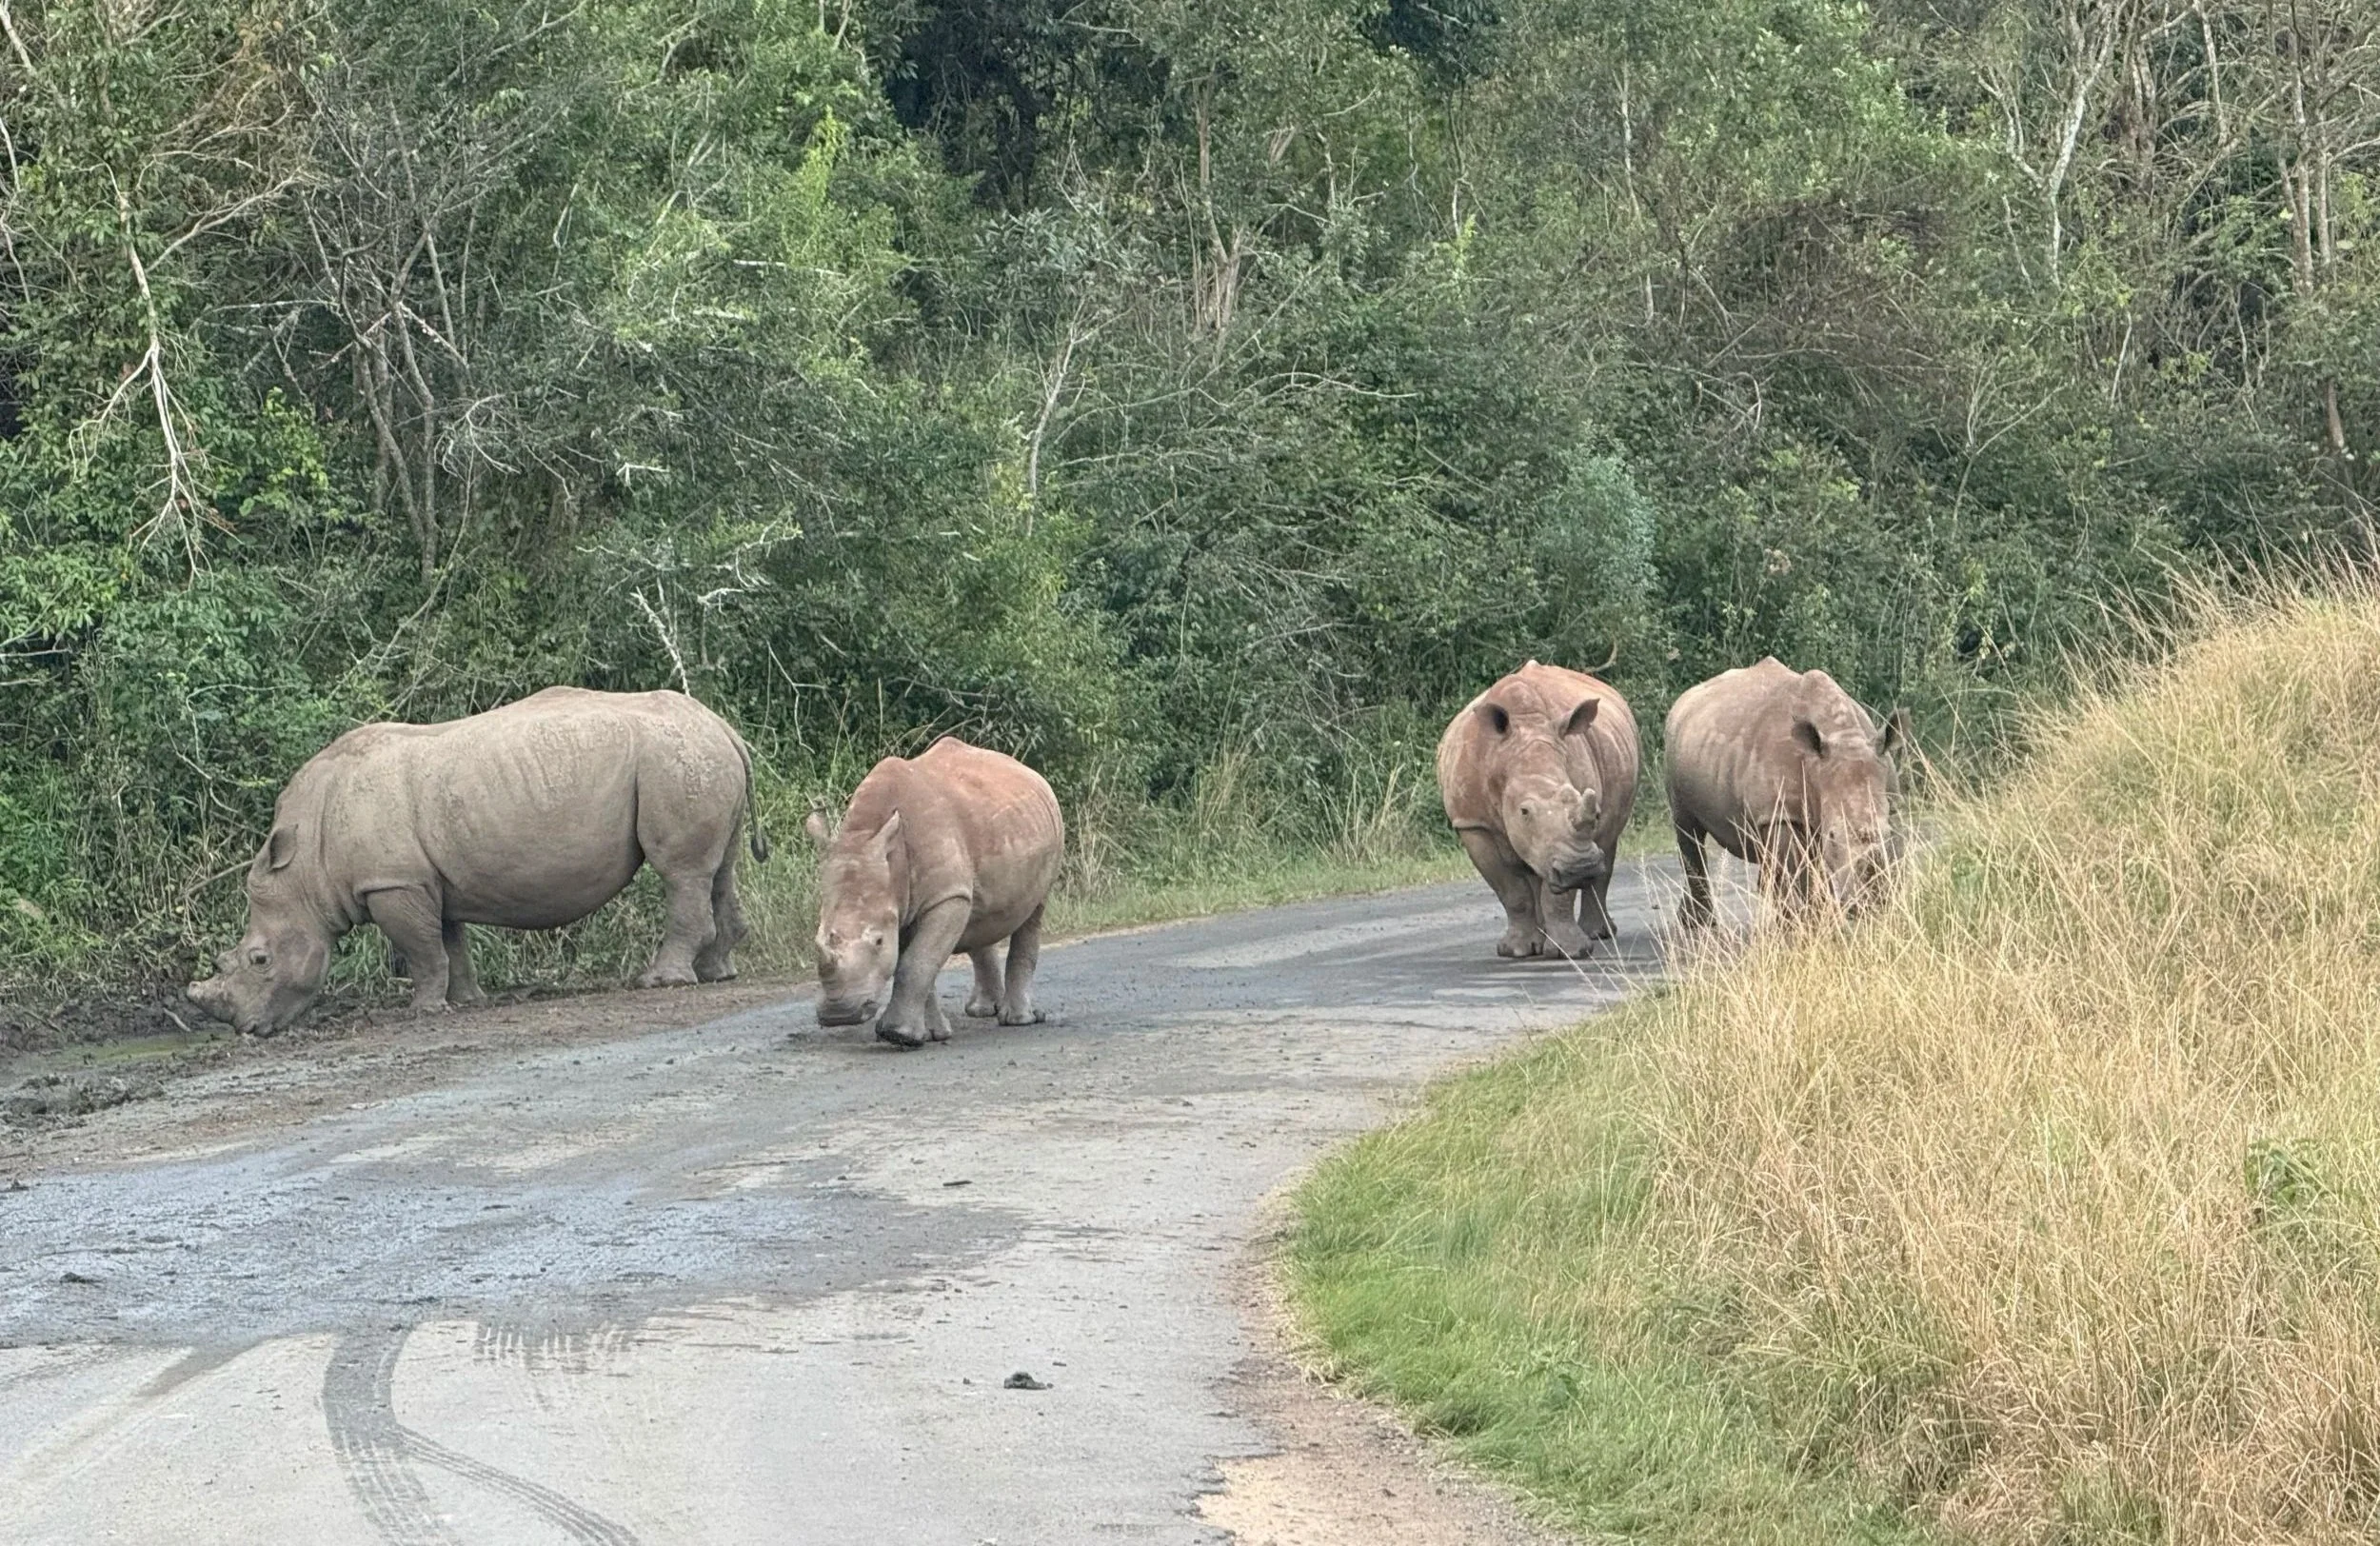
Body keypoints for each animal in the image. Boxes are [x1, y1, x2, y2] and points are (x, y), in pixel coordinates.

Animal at [186, 687, 767, 1036]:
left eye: (260, 960)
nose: (249, 1029)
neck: (307, 868)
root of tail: (723, 726)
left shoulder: (392, 882)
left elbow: (421, 950)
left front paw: (423, 1010)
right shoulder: (423, 879)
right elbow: (449, 940)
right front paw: (467, 1001)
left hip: (673, 760)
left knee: (681, 873)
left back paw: (661, 982)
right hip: (694, 758)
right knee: (720, 869)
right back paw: (718, 973)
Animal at [806, 736, 1064, 1049]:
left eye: (879, 942)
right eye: (817, 939)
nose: (838, 1014)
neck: (865, 833)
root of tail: (1029, 771)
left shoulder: (944, 897)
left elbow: (916, 962)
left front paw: (898, 1035)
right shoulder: (902, 900)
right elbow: (916, 962)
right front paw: (929, 1034)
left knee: (1033, 911)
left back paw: (1018, 1020)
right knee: (979, 913)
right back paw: (982, 1011)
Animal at [1437, 660, 1640, 959]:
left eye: (1588, 808)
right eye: (1524, 812)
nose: (1580, 868)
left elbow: (1558, 892)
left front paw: (1570, 951)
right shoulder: (1473, 823)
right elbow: (1512, 891)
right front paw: (1515, 951)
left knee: (1607, 842)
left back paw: (1597, 934)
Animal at [1665, 657, 1906, 926]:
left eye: (1887, 833)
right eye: (1832, 837)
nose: (1862, 903)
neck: (1842, 736)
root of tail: (1685, 699)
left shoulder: (1890, 801)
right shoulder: (1779, 814)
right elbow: (1799, 872)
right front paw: (1815, 922)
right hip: (1674, 745)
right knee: (1687, 828)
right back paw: (1699, 926)